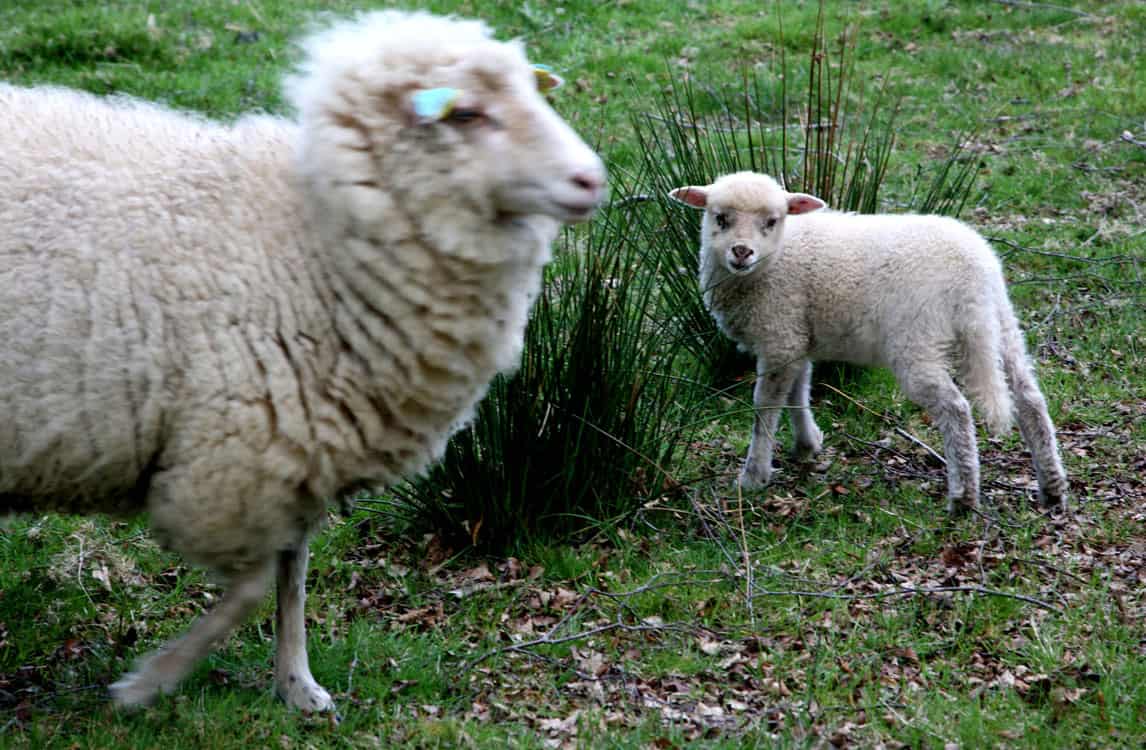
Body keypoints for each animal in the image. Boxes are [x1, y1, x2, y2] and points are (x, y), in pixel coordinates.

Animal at [0, 10, 605, 713]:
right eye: (467, 114)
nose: (592, 179)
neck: (313, 246)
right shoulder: (229, 467)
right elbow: (252, 587)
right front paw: (146, 683)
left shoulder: (293, 452)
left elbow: (292, 576)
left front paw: (298, 686)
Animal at [669, 171, 1067, 514]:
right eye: (720, 218)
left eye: (772, 221)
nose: (741, 252)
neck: (775, 260)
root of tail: (973, 273)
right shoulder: (797, 336)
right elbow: (799, 390)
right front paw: (807, 444)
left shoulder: (779, 334)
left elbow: (764, 407)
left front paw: (753, 476)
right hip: (1002, 324)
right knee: (1030, 398)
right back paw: (1052, 487)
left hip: (918, 338)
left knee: (956, 409)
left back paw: (963, 498)